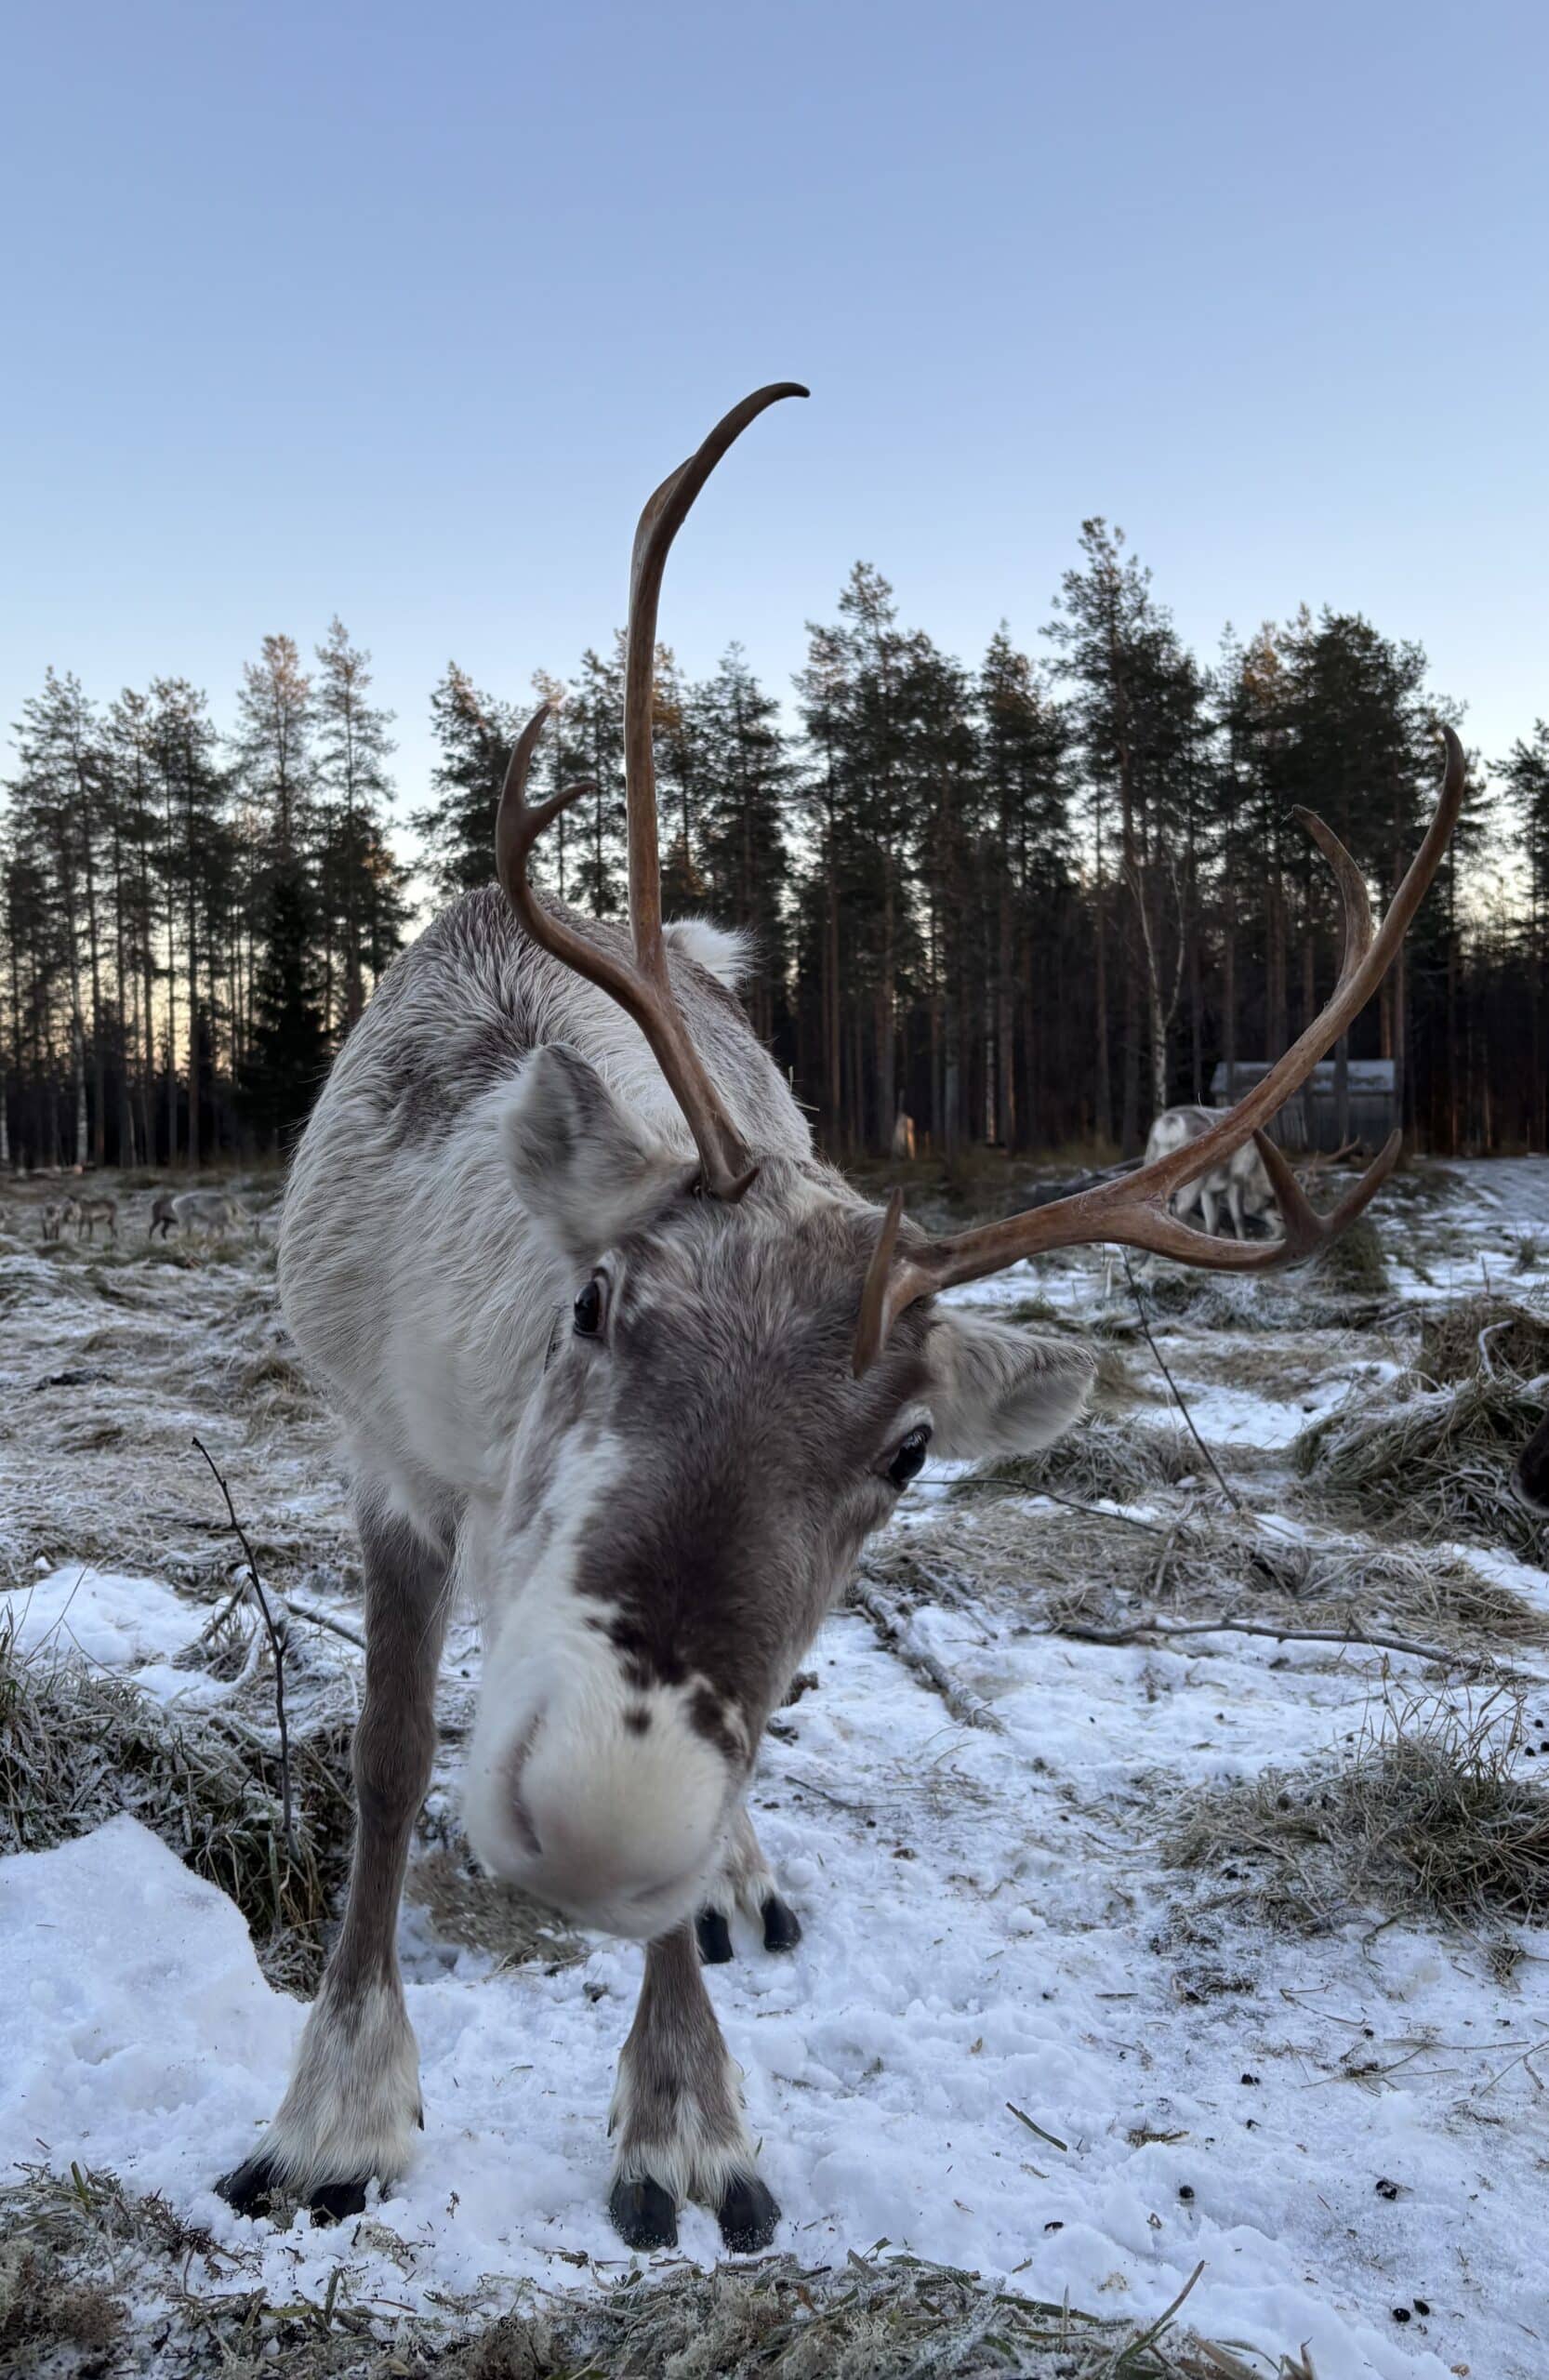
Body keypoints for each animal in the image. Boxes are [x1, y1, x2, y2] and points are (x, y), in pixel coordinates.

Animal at [215, 385, 1464, 2256]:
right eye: (595, 1301)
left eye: (911, 1452)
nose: (605, 1825)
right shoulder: (385, 1461)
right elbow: (375, 1759)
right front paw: (335, 2118)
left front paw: (684, 2114)